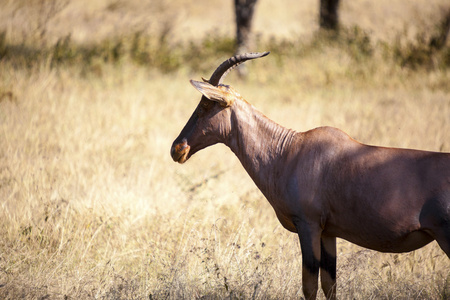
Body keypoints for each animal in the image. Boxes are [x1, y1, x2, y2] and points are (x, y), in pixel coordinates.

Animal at [170, 52, 450, 298]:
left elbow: (309, 287)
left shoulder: (308, 226)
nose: (177, 148)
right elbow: (330, 286)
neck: (289, 150)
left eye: (206, 103)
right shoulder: (328, 233)